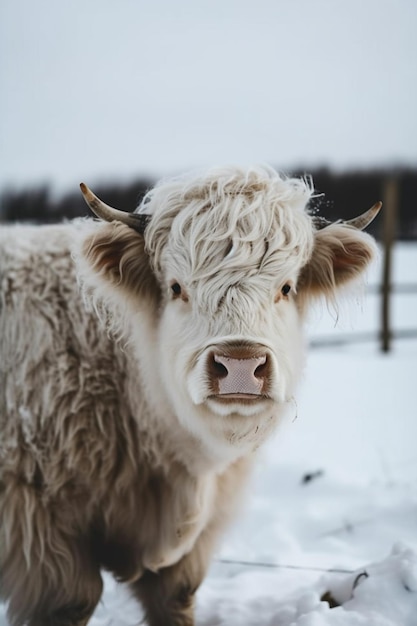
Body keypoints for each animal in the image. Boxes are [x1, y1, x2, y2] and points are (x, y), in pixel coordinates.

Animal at [0, 167, 378, 624]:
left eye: (286, 288)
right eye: (177, 288)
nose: (240, 366)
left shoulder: (192, 549)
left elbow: (176, 599)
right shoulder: (39, 531)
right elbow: (70, 602)